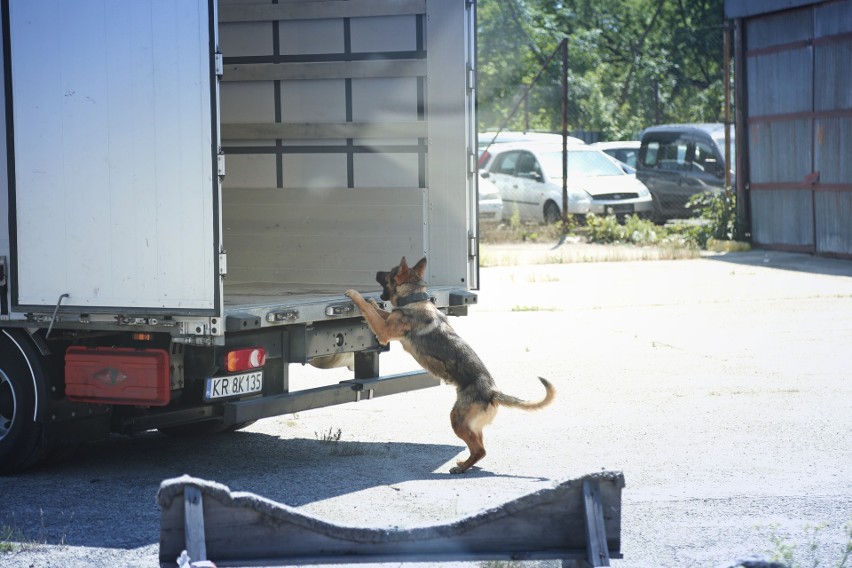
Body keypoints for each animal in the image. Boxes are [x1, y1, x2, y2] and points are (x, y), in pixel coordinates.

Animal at [342, 255, 556, 472]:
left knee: (480, 450)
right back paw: (466, 464)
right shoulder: (387, 321)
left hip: (457, 419)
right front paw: (371, 301)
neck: (415, 299)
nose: (376, 272)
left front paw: (356, 295)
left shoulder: (383, 331)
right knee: (479, 446)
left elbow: (370, 311)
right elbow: (378, 310)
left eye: (389, 273)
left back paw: (461, 468)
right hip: (470, 424)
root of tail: (492, 392)